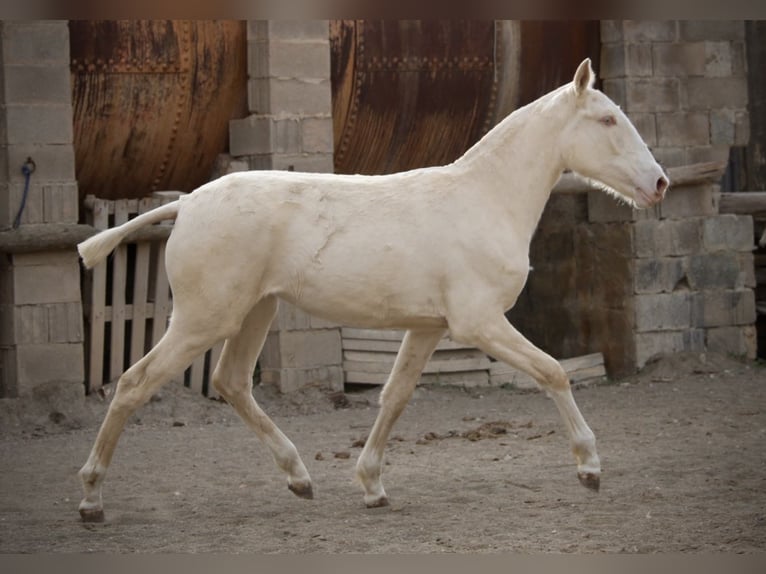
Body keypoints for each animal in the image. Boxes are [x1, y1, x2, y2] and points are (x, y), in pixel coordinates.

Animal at [75, 58, 668, 520]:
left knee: (232, 382)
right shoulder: (479, 322)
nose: (659, 183)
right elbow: (552, 372)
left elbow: (395, 396)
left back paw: (299, 478)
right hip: (205, 319)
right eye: (607, 119)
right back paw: (91, 499)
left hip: (254, 313)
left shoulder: (428, 328)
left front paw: (373, 487)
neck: (484, 199)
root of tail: (188, 203)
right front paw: (589, 467)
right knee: (133, 384)